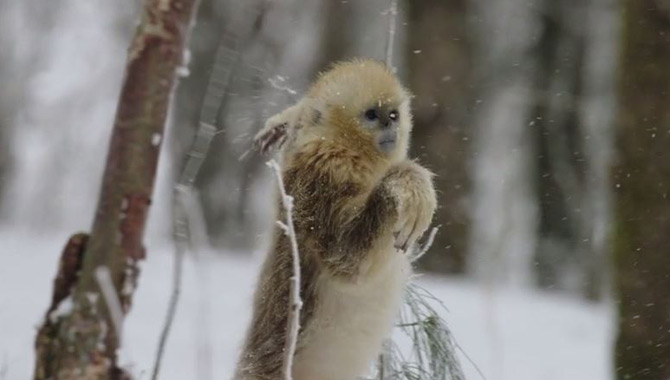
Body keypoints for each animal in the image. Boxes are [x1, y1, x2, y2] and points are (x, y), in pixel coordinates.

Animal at [234, 58, 438, 380]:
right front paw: (409, 183)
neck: (345, 150)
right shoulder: (320, 181)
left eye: (393, 114)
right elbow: (348, 260)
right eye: (372, 115)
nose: (391, 126)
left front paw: (286, 119)